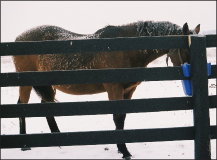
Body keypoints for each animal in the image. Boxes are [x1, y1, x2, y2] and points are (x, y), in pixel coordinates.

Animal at [12, 21, 200, 159]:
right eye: (186, 49)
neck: (125, 48)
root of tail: (18, 39)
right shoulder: (114, 89)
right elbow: (117, 118)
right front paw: (124, 151)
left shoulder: (128, 90)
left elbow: (122, 119)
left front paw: (121, 148)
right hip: (26, 83)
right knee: (21, 106)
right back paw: (24, 145)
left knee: (46, 105)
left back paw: (57, 139)